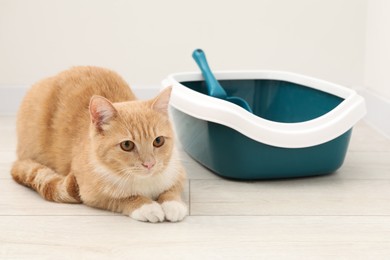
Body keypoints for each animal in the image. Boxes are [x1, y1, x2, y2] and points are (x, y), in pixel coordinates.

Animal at [11, 66, 188, 222]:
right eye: (127, 145)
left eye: (158, 141)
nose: (149, 164)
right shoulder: (91, 194)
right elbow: (124, 198)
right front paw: (146, 206)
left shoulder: (178, 173)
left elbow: (172, 190)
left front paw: (173, 205)